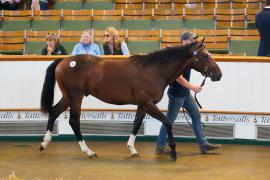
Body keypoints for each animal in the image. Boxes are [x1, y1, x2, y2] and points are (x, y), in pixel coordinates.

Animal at [39, 37, 221, 160]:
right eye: (205, 55)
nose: (218, 74)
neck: (154, 70)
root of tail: (64, 61)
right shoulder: (148, 104)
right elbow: (168, 122)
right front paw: (173, 151)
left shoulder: (142, 105)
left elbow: (136, 124)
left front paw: (132, 149)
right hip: (76, 98)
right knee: (74, 121)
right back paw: (88, 151)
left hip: (68, 97)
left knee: (54, 112)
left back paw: (44, 143)